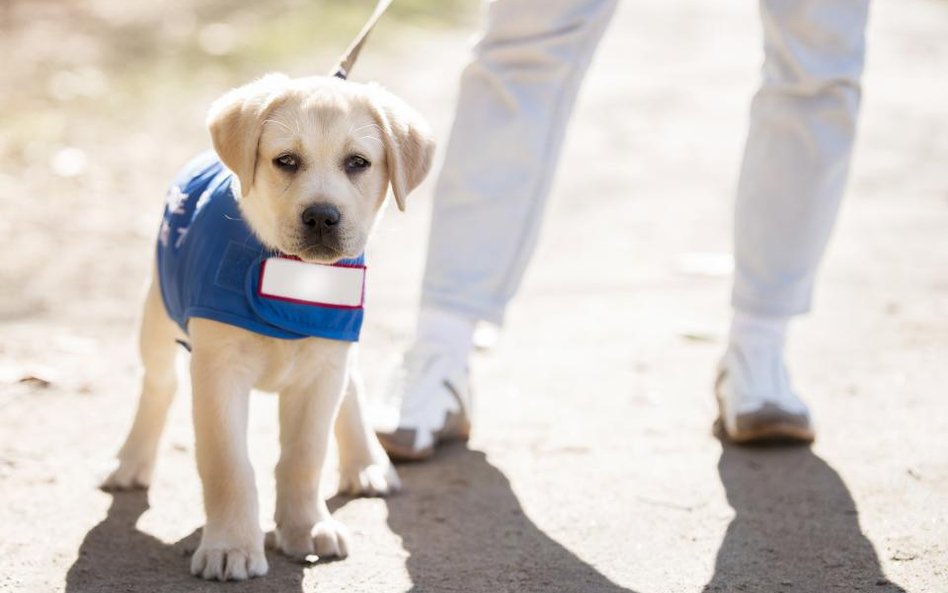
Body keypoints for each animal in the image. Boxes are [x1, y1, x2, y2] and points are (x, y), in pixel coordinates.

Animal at [102, 73, 436, 580]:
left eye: (358, 163)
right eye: (286, 161)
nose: (321, 216)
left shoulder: (323, 366)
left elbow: (303, 458)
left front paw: (306, 527)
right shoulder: (218, 372)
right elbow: (229, 466)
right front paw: (231, 546)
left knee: (352, 389)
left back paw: (365, 465)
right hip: (157, 313)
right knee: (159, 384)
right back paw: (130, 462)